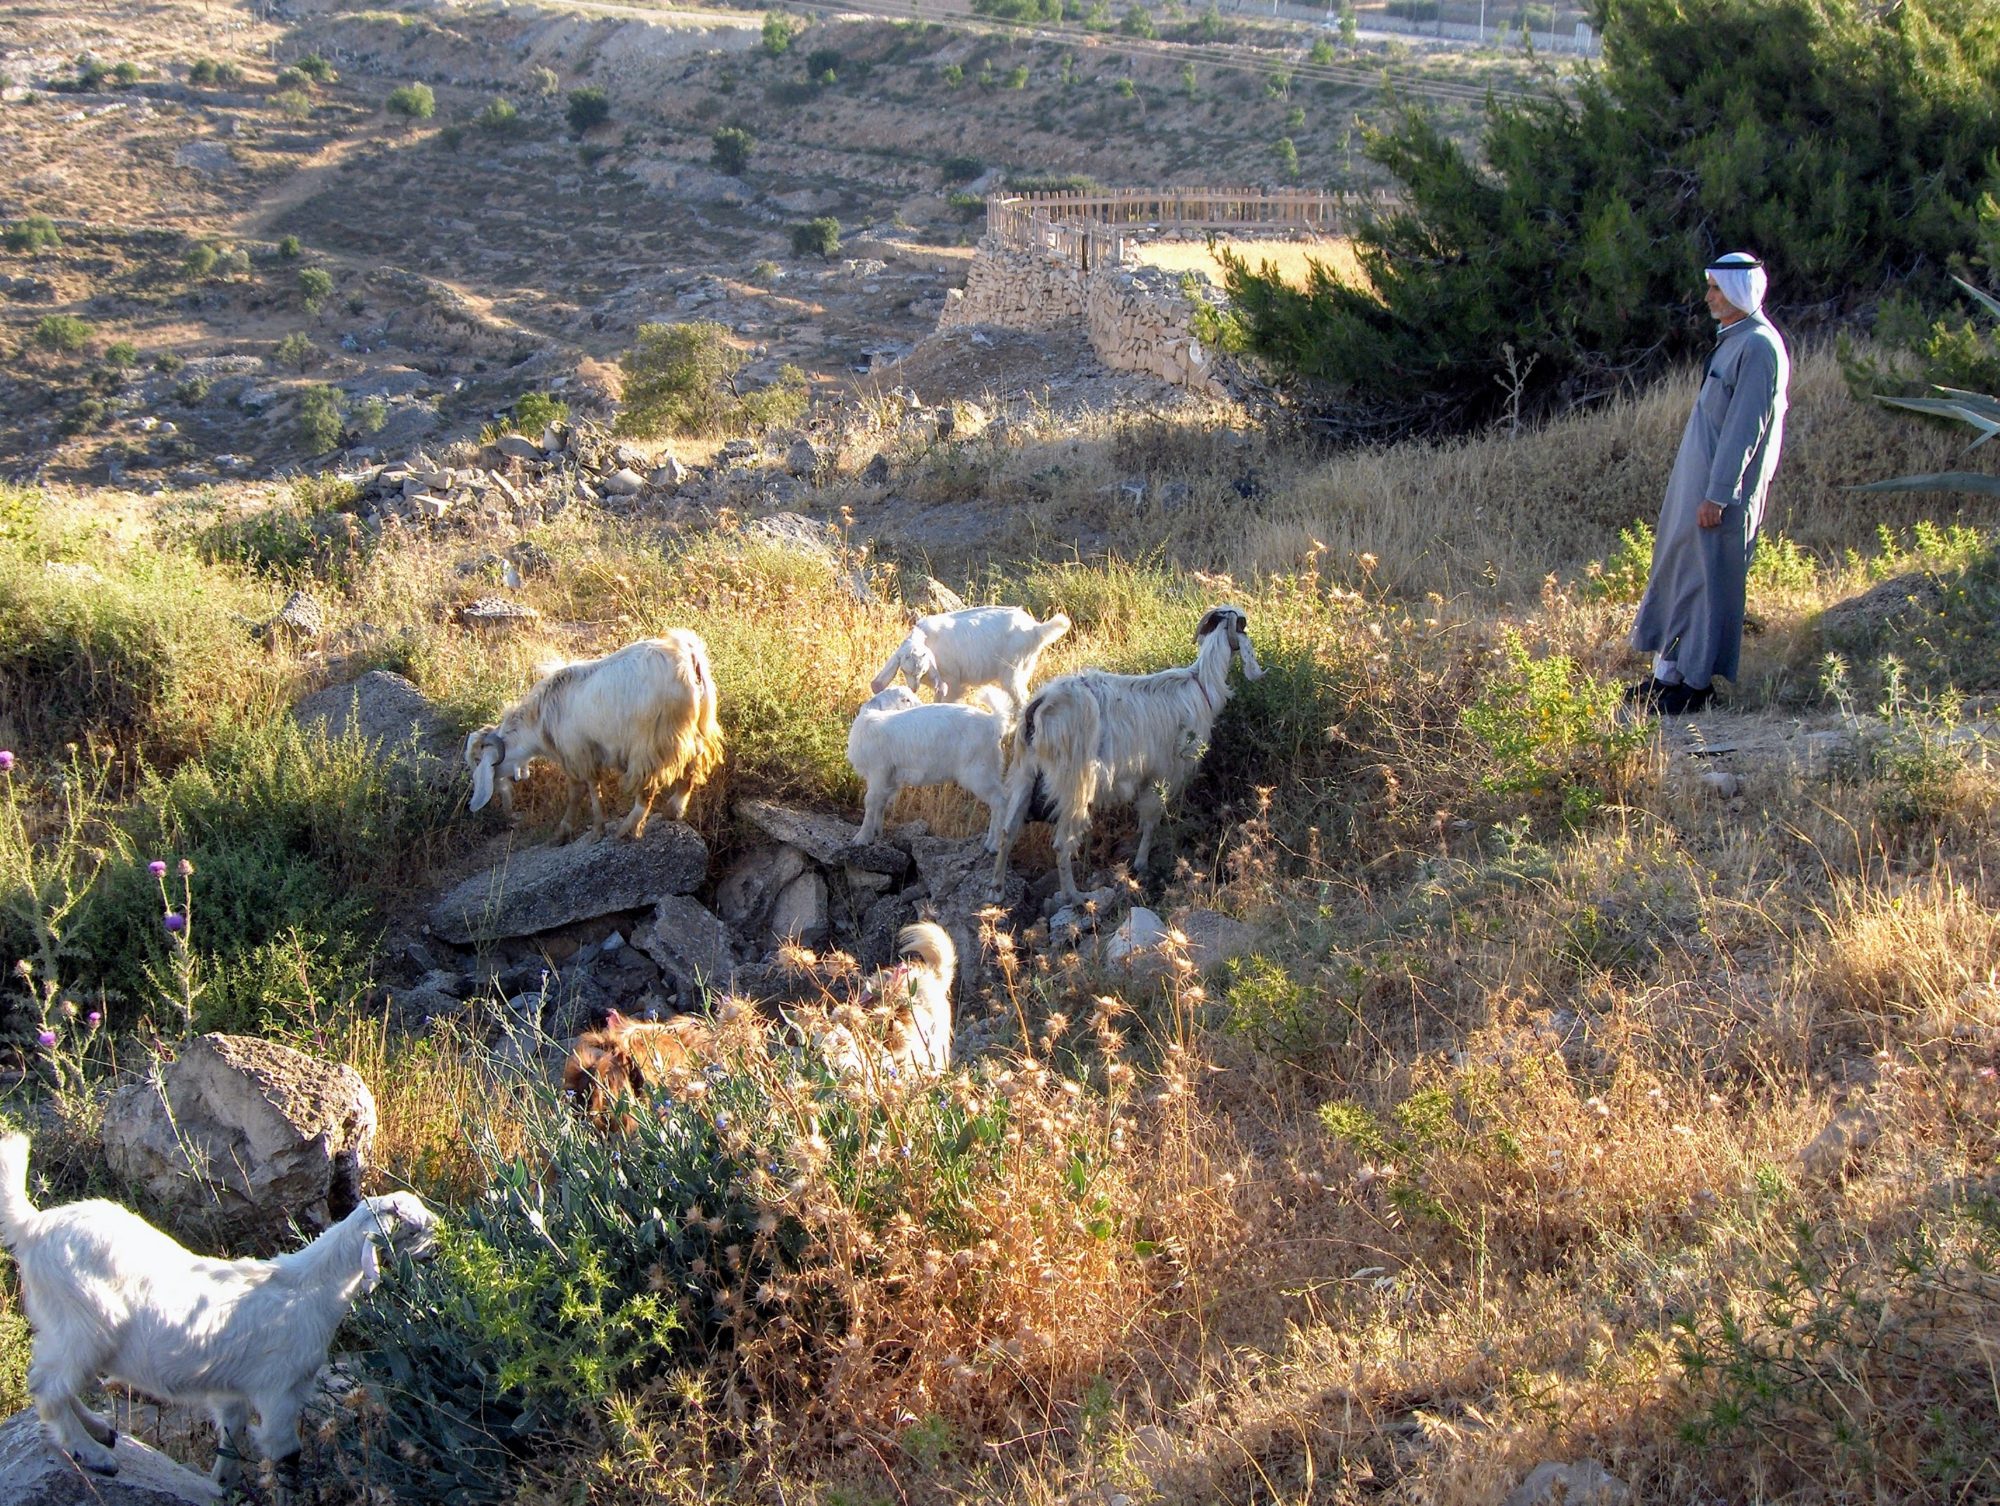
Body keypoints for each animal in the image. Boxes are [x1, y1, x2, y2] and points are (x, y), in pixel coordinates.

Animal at [0, 1128, 438, 1496]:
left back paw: (101, 1430)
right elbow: (285, 1457)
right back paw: (94, 1454)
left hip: (61, 1326)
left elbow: (230, 1438)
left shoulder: (233, 1392)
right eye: (414, 1227)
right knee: (48, 1386)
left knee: (51, 1380)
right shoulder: (280, 1389)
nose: (438, 1245)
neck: (310, 1287)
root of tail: (33, 1226)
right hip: (84, 1324)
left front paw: (223, 1488)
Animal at [464, 628, 724, 840]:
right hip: (699, 725)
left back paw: (628, 829)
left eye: (478, 760)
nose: (505, 810)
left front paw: (579, 830)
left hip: (651, 740)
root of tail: (688, 658)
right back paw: (674, 809)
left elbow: (582, 789)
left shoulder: (577, 752)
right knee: (696, 762)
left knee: (648, 786)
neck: (540, 720)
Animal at [852, 680, 1024, 848]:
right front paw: (875, 833)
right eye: (905, 699)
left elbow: (870, 801)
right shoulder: (889, 777)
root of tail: (994, 722)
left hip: (979, 770)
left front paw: (861, 838)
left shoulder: (878, 770)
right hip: (990, 767)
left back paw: (994, 845)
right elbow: (881, 803)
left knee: (1000, 801)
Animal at [868, 604, 1072, 708]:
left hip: (1012, 669)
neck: (927, 638)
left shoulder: (952, 681)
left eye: (923, 668)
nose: (914, 687)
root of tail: (1036, 629)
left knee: (1021, 698)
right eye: (903, 670)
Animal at [988, 604, 1256, 904]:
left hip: (1025, 770)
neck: (1201, 684)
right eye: (1244, 625)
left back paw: (997, 889)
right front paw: (1141, 864)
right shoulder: (1164, 773)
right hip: (1074, 779)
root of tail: (1040, 705)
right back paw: (1074, 896)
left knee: (1008, 830)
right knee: (1061, 843)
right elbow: (1151, 820)